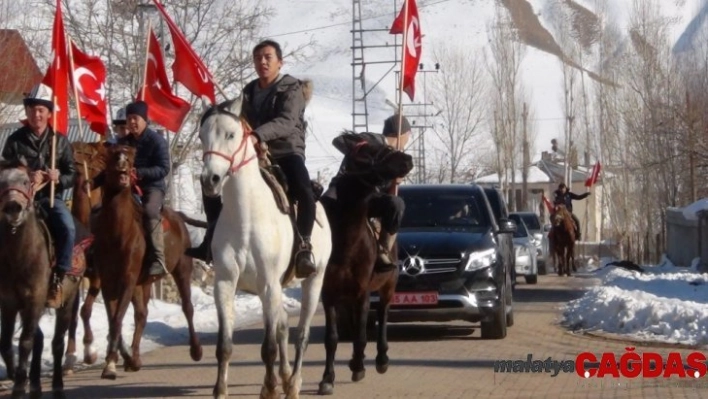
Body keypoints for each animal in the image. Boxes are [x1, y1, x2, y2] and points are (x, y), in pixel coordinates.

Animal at [0, 158, 88, 398]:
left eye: (25, 181)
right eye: (0, 181)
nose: (12, 208)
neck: (20, 256)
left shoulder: (34, 301)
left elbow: (25, 342)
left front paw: (19, 387)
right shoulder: (9, 303)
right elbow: (6, 341)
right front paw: (16, 377)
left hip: (66, 302)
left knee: (57, 342)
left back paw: (57, 385)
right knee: (40, 341)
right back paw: (36, 386)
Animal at [92, 145, 202, 380]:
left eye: (129, 157)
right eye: (113, 155)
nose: (123, 168)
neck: (118, 232)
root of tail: (178, 216)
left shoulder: (127, 279)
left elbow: (117, 319)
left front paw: (111, 363)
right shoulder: (109, 282)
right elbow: (114, 319)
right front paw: (112, 362)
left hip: (182, 269)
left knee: (187, 307)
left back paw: (196, 350)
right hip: (143, 283)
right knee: (141, 315)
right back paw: (134, 359)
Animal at [199, 97, 332, 399]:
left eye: (231, 134)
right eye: (202, 136)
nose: (210, 180)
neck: (246, 216)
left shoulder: (269, 283)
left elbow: (269, 347)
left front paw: (271, 389)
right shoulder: (226, 283)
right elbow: (225, 346)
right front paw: (220, 390)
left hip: (315, 280)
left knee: (301, 334)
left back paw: (293, 383)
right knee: (282, 326)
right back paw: (283, 377)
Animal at [316, 135, 412, 396]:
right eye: (367, 151)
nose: (408, 159)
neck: (345, 242)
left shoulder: (363, 292)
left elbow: (360, 334)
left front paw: (359, 367)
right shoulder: (328, 294)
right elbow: (332, 337)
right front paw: (327, 378)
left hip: (387, 287)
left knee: (382, 316)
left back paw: (380, 360)